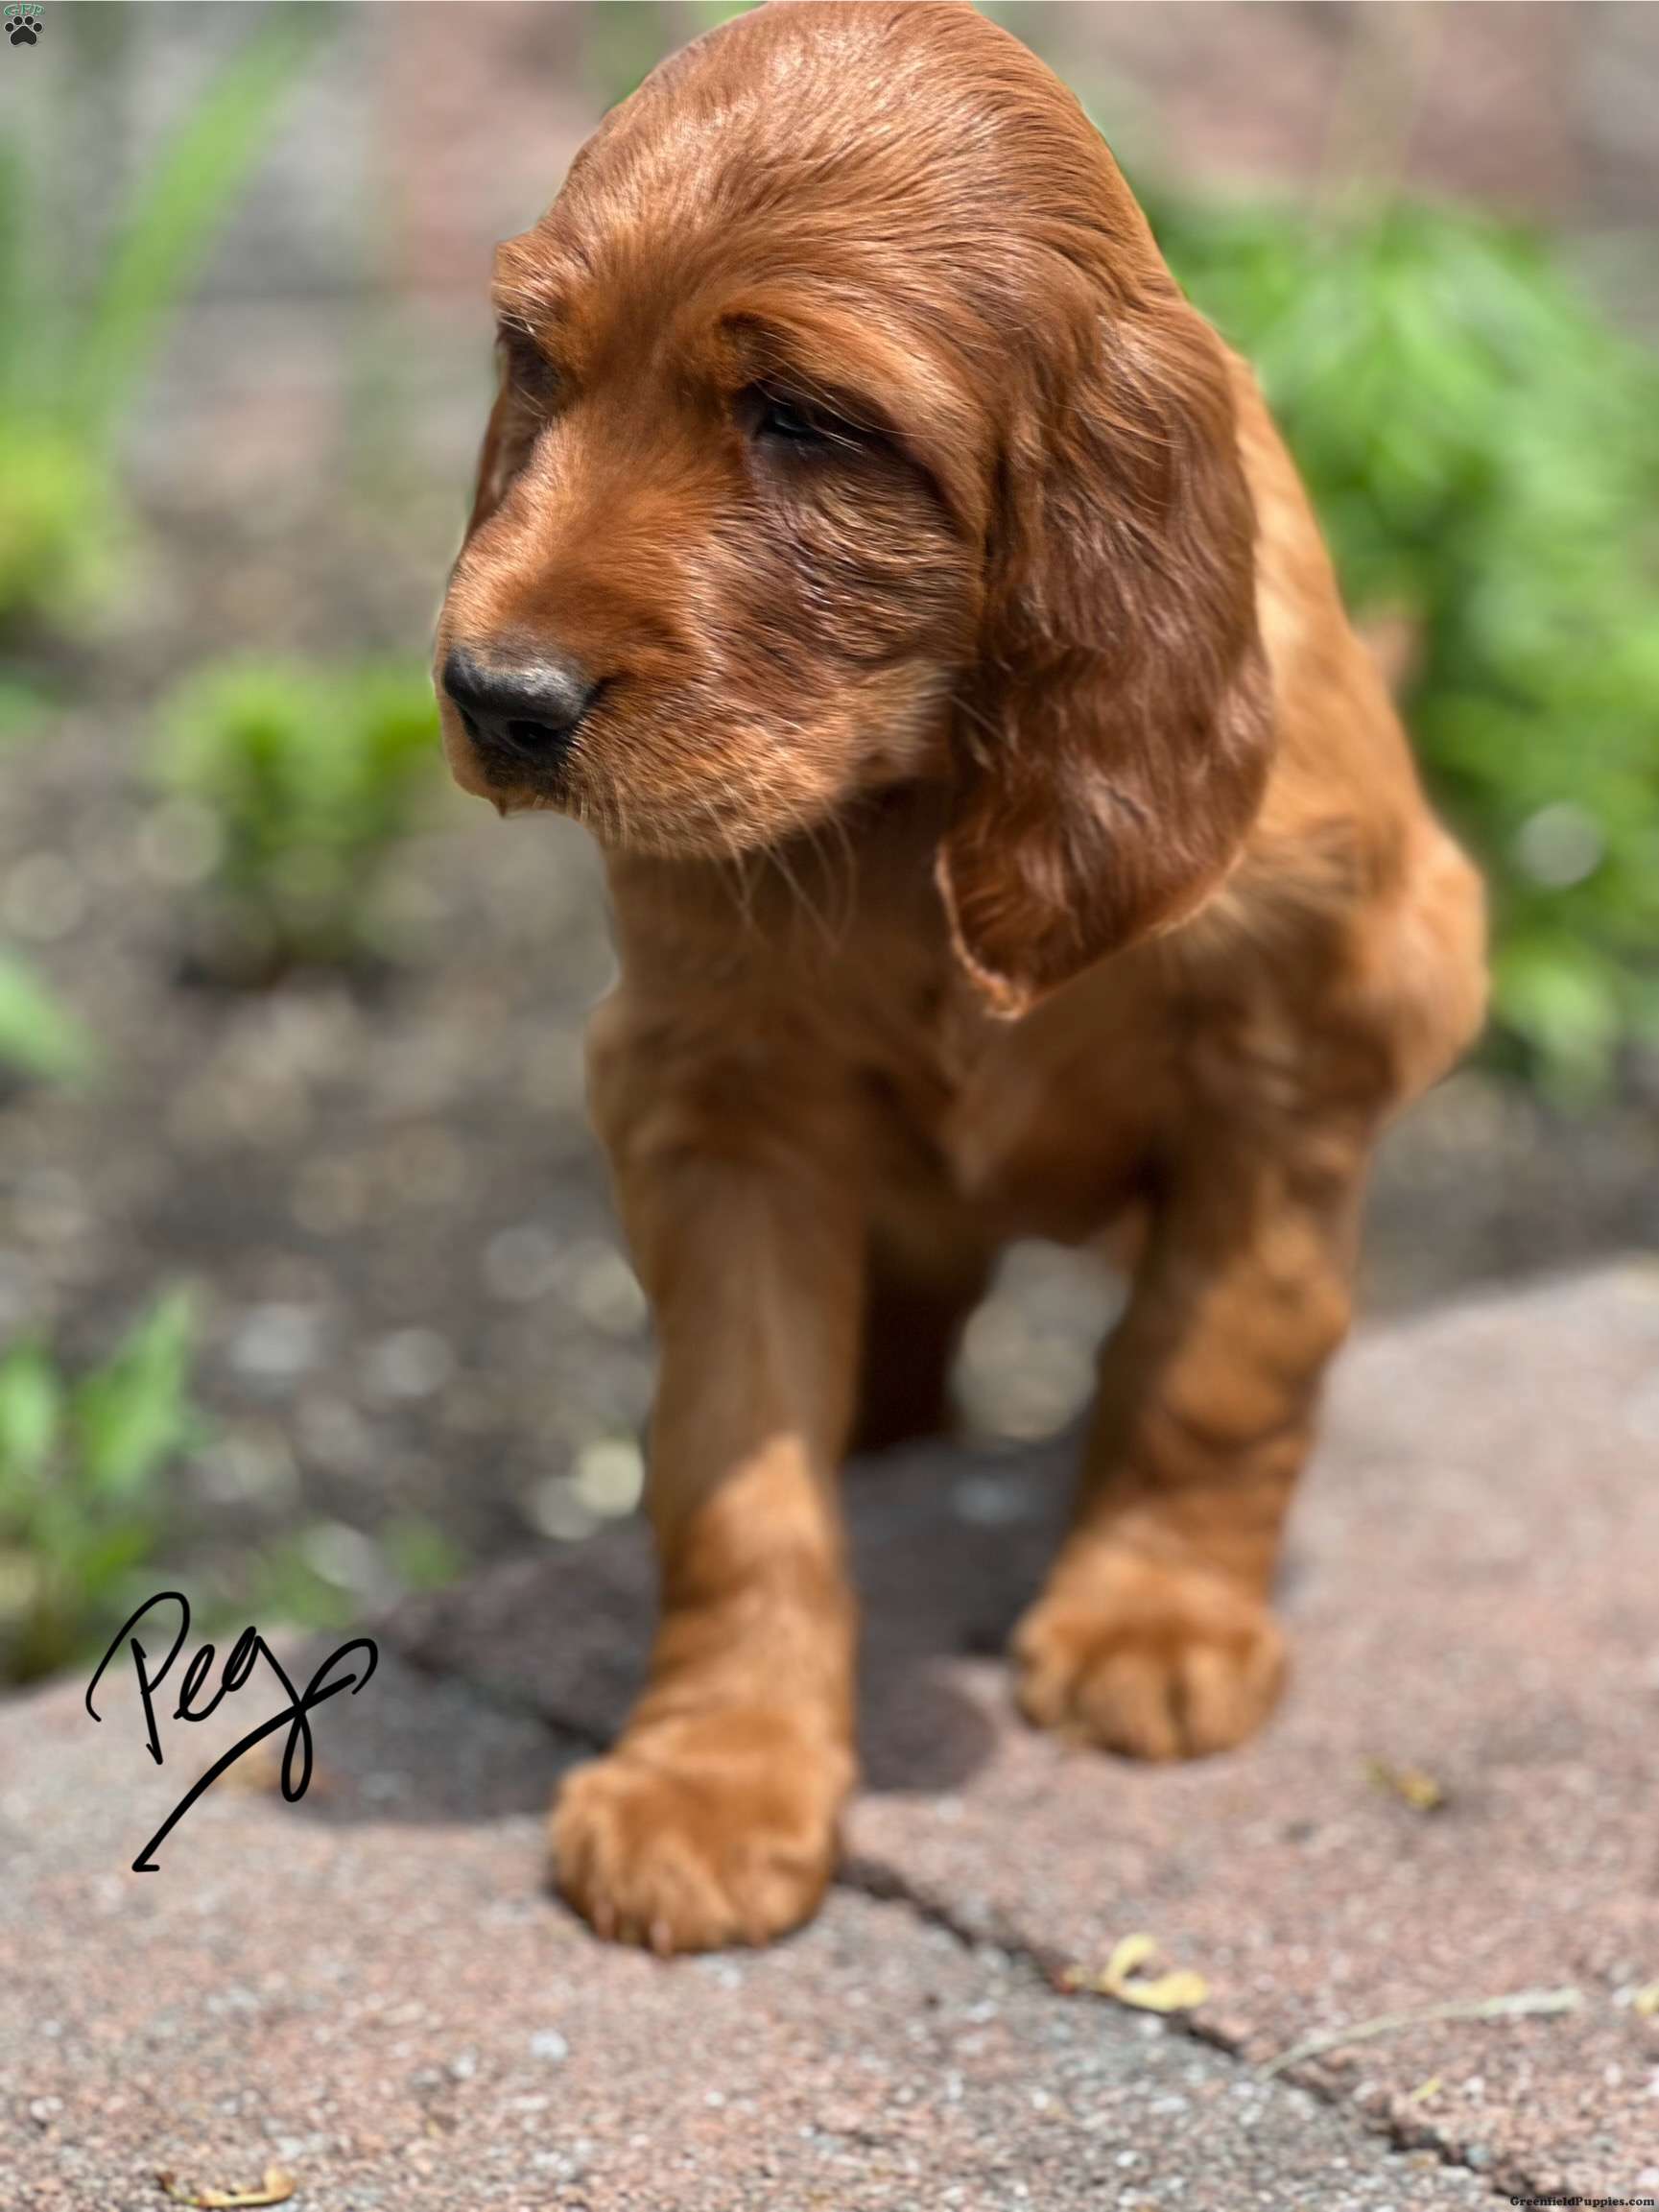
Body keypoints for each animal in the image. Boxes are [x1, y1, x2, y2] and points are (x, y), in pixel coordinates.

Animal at [436, 0, 1486, 1946]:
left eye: (800, 418)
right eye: (533, 361)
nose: (495, 696)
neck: (923, 784)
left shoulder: (1301, 1052)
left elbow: (1218, 1356)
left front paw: (1151, 1619)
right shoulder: (718, 1101)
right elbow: (737, 1462)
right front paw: (717, 1782)